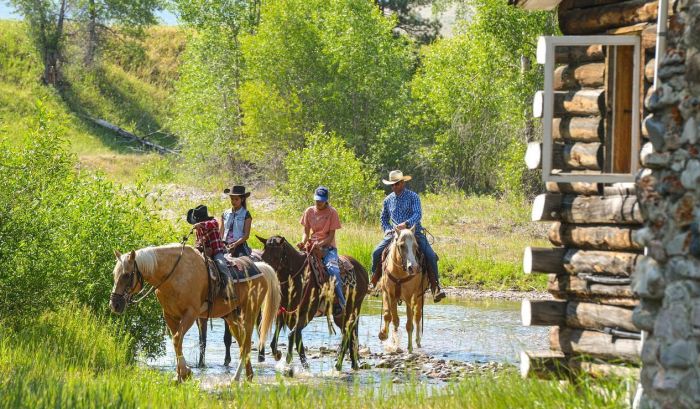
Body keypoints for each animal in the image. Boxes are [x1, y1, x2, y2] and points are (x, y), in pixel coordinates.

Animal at [108, 242, 280, 380]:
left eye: (127, 275)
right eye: (114, 274)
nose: (114, 304)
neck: (174, 274)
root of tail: (260, 268)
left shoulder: (190, 314)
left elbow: (177, 339)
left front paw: (185, 373)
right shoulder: (170, 316)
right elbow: (176, 342)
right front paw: (179, 375)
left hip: (249, 314)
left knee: (246, 344)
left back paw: (236, 379)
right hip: (232, 317)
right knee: (242, 343)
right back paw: (249, 376)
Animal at [256, 233, 366, 370]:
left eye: (276, 256)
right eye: (263, 255)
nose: (265, 274)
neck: (298, 278)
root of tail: (363, 270)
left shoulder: (307, 313)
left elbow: (292, 335)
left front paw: (293, 360)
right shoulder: (284, 313)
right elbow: (278, 341)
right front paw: (281, 355)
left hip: (352, 309)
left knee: (349, 332)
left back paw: (340, 364)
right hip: (341, 316)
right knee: (348, 333)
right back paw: (351, 363)